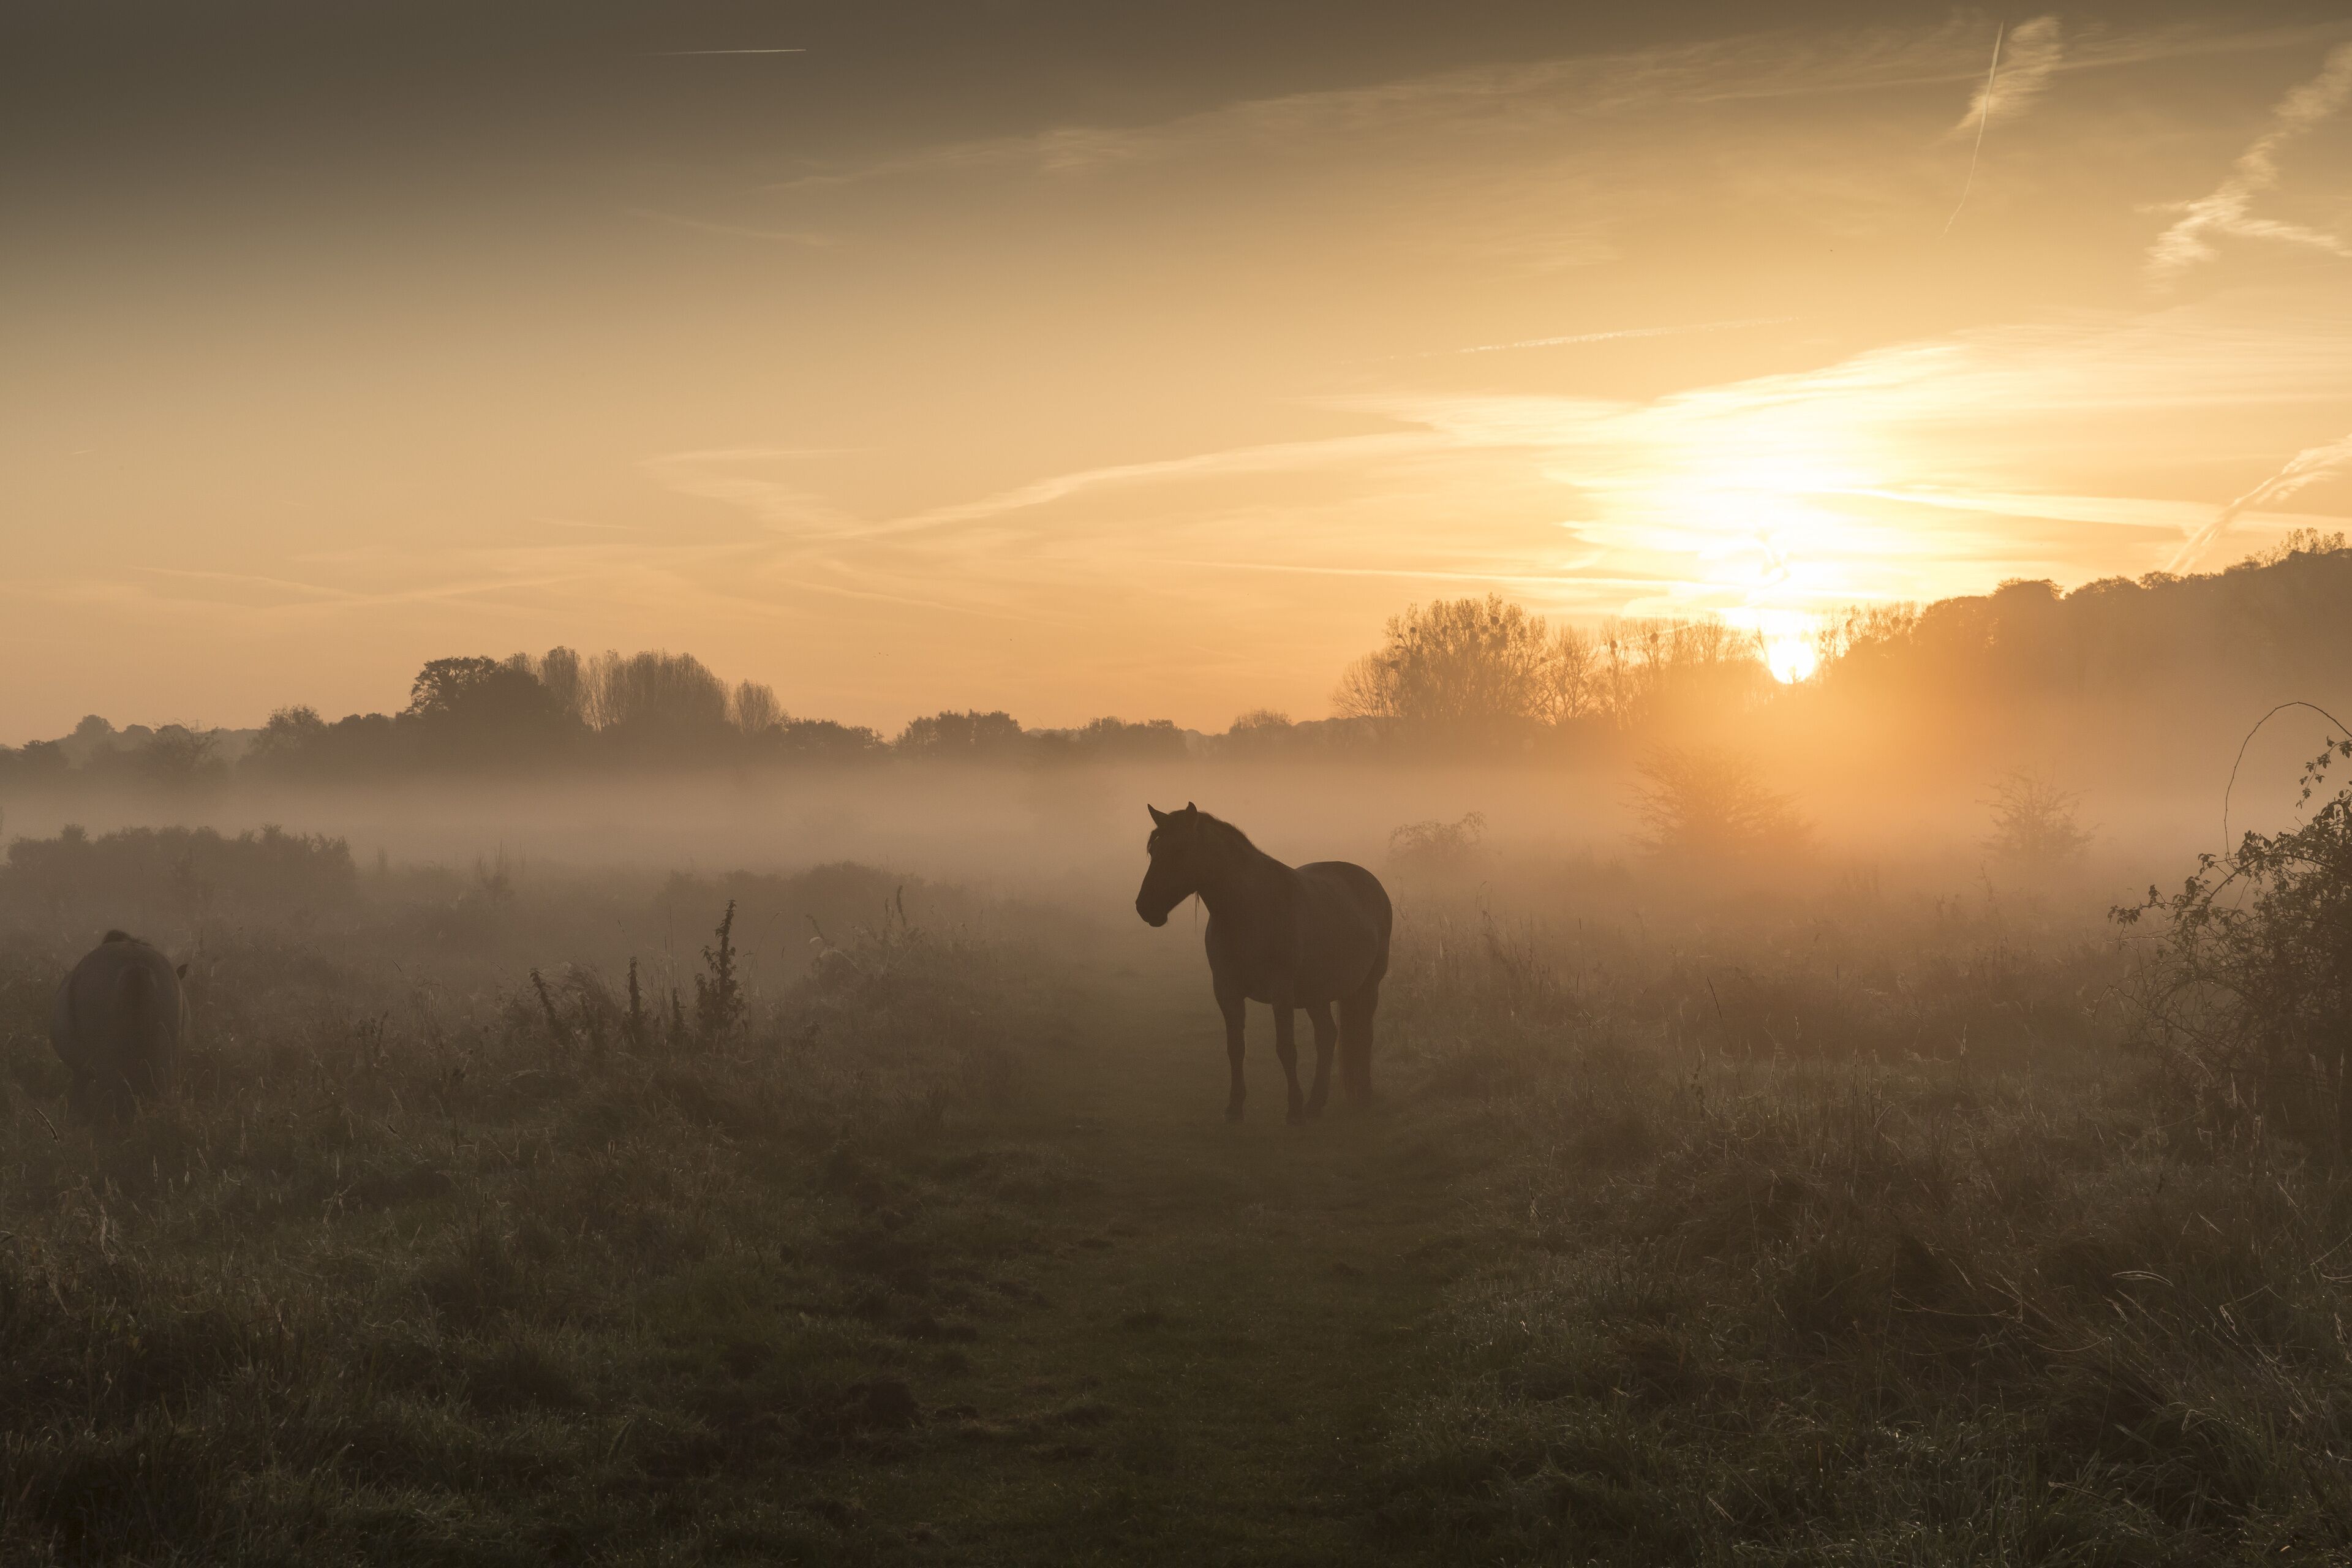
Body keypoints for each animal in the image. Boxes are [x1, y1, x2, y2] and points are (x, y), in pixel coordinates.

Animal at [1134, 803, 1392, 1123]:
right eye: (1154, 851)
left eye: (1180, 850)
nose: (1145, 907)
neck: (1250, 910)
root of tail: (1370, 882)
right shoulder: (1227, 992)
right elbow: (1235, 1049)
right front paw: (1235, 1107)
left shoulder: (1281, 994)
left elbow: (1286, 1049)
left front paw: (1293, 1110)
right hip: (1315, 994)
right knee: (1327, 1036)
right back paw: (1316, 1102)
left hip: (1368, 986)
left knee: (1364, 1035)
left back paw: (1362, 1095)